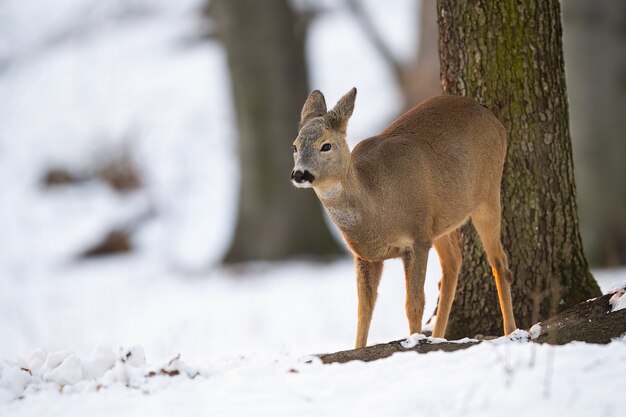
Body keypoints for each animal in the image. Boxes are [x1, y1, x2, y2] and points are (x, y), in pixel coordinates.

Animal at [290, 88, 516, 348]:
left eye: (325, 146)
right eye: (295, 146)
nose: (299, 174)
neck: (377, 206)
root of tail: (489, 114)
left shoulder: (417, 238)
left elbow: (414, 304)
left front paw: (414, 341)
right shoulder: (364, 256)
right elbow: (363, 311)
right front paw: (359, 348)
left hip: (487, 192)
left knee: (499, 261)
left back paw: (511, 332)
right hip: (441, 219)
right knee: (452, 263)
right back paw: (438, 337)